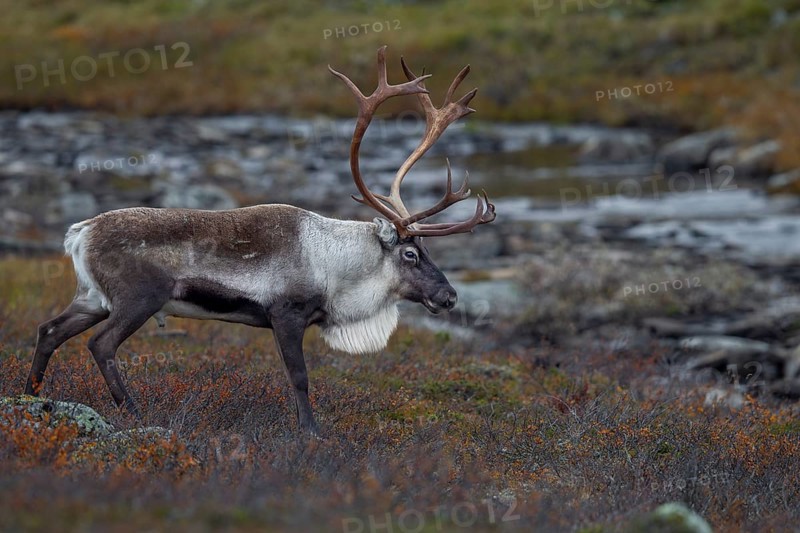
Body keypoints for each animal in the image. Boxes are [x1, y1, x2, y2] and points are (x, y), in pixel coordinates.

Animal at [24, 46, 496, 435]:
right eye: (411, 253)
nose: (450, 296)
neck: (338, 267)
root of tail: (79, 233)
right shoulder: (286, 314)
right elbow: (299, 378)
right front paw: (312, 433)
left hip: (92, 297)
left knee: (49, 329)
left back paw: (31, 396)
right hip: (137, 298)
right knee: (100, 344)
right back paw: (134, 412)